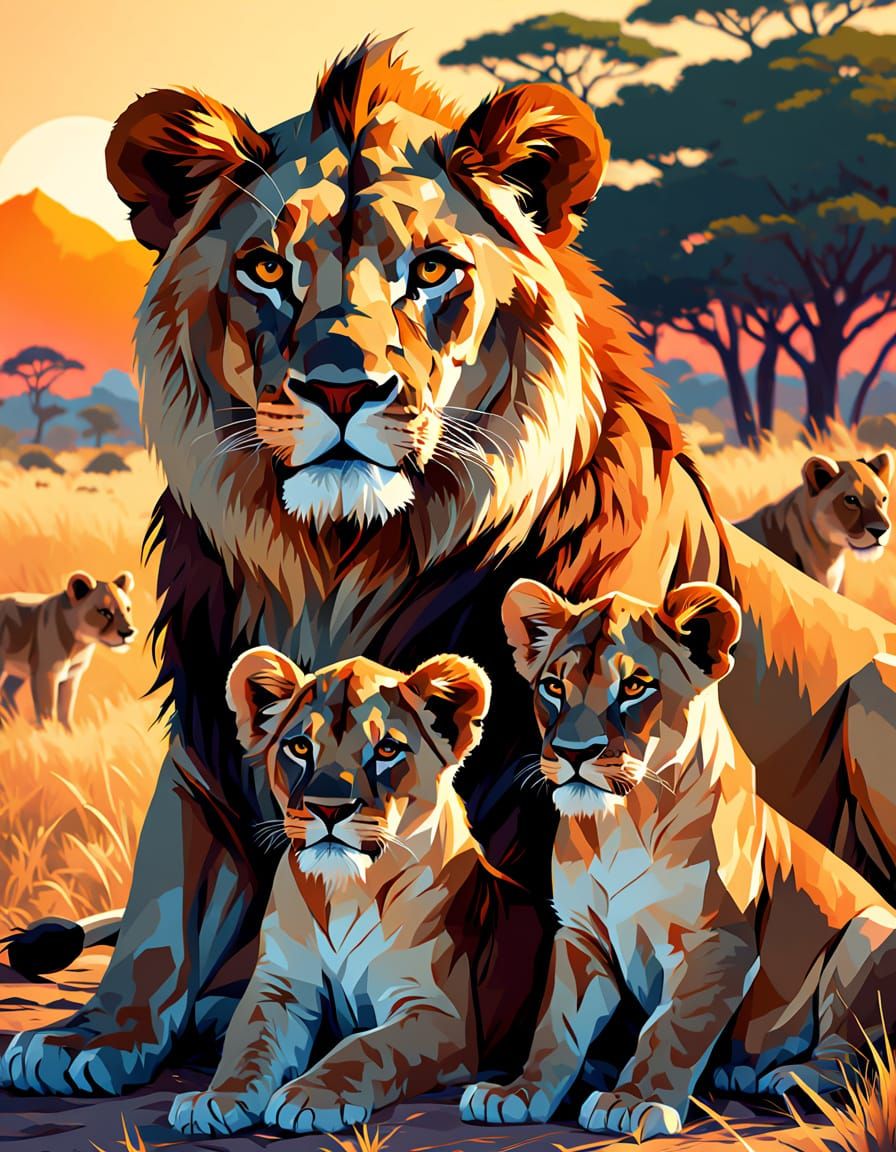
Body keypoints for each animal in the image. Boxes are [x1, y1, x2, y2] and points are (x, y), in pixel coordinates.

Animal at [0, 571, 136, 727]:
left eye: (127, 609)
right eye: (104, 612)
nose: (128, 632)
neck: (78, 645)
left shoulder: (72, 675)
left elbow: (65, 711)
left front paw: (68, 732)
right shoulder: (45, 674)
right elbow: (48, 712)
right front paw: (49, 731)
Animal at [168, 644, 533, 1137]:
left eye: (387, 749)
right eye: (300, 747)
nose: (328, 808)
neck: (346, 891)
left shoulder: (438, 1013)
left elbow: (365, 1048)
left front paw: (310, 1096)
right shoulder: (280, 987)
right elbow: (248, 1043)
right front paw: (216, 1098)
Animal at [462, 579, 896, 1140]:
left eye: (635, 686)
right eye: (554, 687)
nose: (574, 752)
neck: (621, 822)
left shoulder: (716, 942)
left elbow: (670, 1030)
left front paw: (633, 1102)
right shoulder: (580, 935)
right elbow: (554, 1025)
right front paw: (518, 1093)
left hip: (869, 933)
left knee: (849, 1051)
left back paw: (790, 1076)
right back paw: (739, 1071)